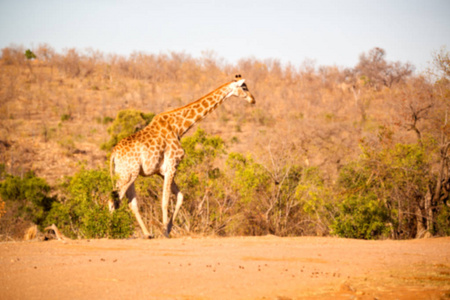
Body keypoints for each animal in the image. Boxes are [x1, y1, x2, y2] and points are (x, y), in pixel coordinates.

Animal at [109, 74, 255, 237]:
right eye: (244, 87)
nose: (253, 100)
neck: (179, 127)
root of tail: (114, 154)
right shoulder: (172, 165)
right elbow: (165, 200)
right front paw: (164, 231)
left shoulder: (163, 171)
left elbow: (180, 197)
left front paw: (168, 228)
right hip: (127, 174)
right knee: (114, 200)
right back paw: (110, 232)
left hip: (129, 174)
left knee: (130, 203)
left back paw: (146, 234)